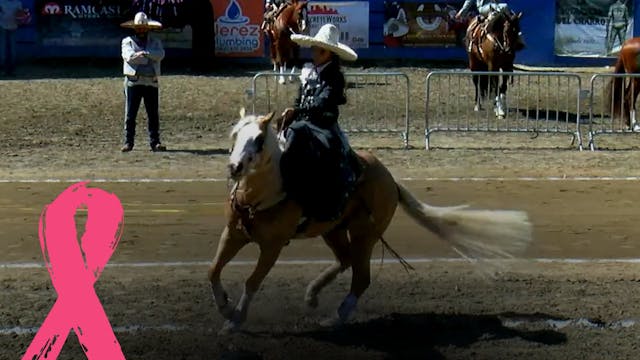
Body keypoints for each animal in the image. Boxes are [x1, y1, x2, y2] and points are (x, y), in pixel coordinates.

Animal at [208, 109, 532, 334]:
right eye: (235, 136)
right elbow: (213, 271)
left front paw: (233, 322)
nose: (235, 167)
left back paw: (335, 318)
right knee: (345, 260)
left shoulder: (272, 247)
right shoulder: (233, 234)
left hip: (365, 234)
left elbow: (252, 281)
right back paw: (312, 295)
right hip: (334, 230)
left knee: (360, 276)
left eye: (259, 140)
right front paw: (224, 308)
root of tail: (391, 182)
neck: (265, 193)